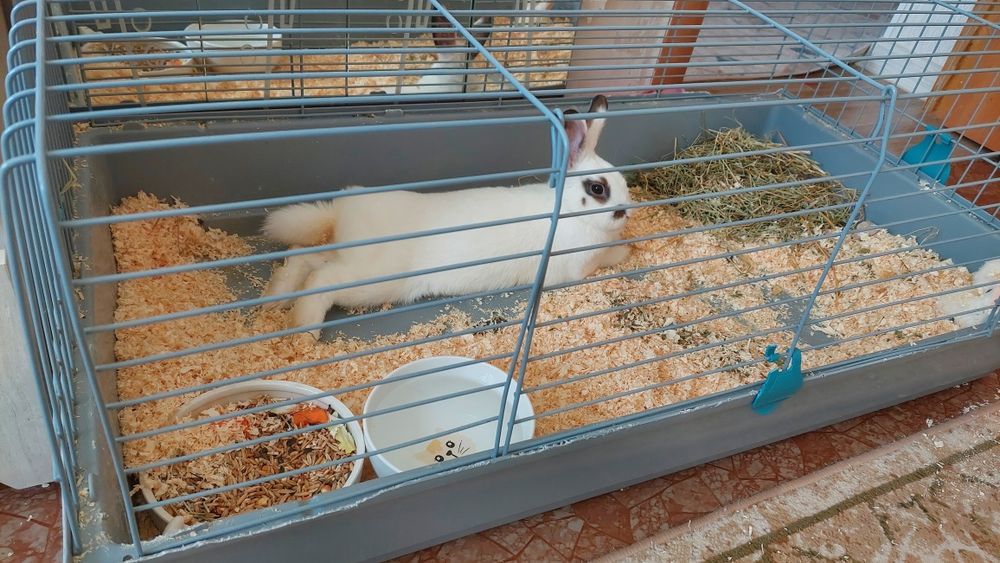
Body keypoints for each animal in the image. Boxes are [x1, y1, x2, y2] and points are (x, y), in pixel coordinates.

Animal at [262, 95, 632, 338]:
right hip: (373, 279)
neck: (568, 212)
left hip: (347, 258)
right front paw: (626, 249)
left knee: (301, 257)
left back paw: (275, 298)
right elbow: (609, 257)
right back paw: (305, 330)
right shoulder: (576, 268)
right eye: (597, 189)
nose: (625, 212)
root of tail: (341, 213)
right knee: (320, 281)